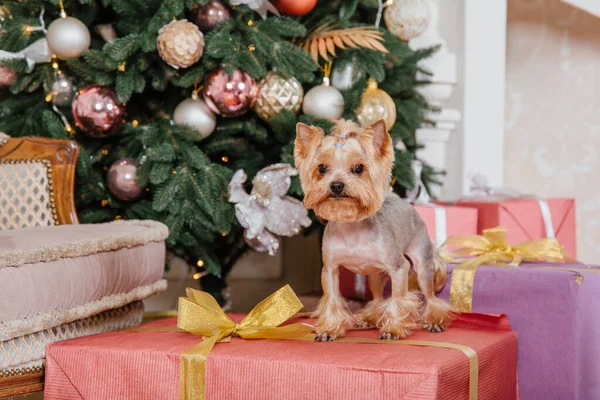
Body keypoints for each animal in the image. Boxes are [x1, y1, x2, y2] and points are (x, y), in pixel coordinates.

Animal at [292, 119, 452, 340]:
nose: (337, 185)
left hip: (421, 263)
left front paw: (393, 329)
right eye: (322, 168)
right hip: (375, 275)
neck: (352, 227)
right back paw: (369, 318)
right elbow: (332, 299)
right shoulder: (330, 269)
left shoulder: (399, 268)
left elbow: (398, 300)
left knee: (429, 295)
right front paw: (329, 330)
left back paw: (434, 321)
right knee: (377, 297)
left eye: (359, 168)